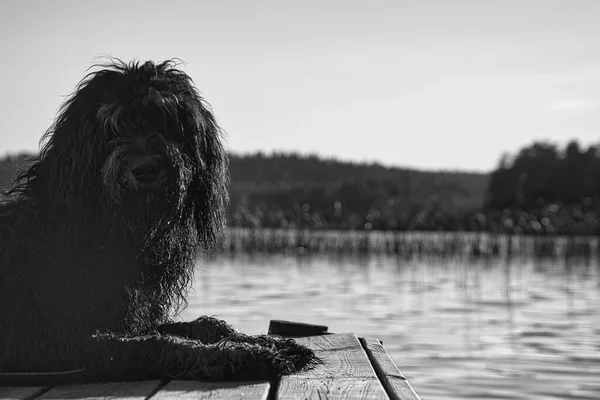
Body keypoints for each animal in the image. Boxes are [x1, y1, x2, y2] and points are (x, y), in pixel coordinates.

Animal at [0, 60, 318, 384]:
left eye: (167, 122)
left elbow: (202, 326)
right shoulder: (61, 343)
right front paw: (244, 355)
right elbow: (158, 344)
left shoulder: (131, 320)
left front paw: (261, 340)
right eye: (113, 126)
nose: (145, 169)